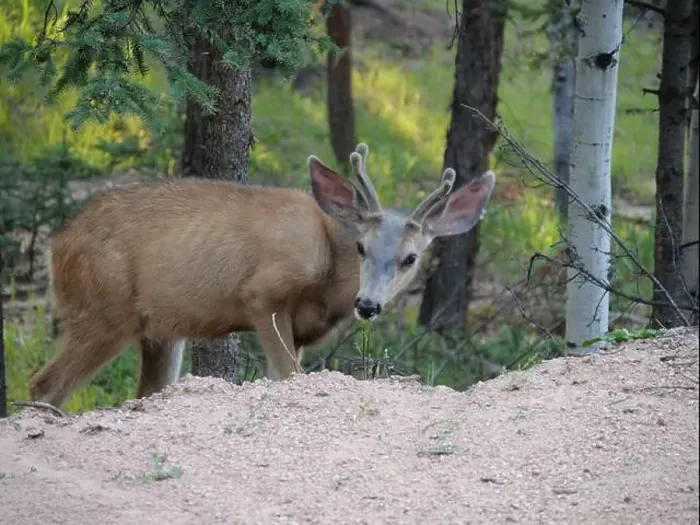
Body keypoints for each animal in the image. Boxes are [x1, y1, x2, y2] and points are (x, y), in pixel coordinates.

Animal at [30, 143, 495, 408]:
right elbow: (289, 375)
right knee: (44, 384)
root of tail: (57, 247)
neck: (329, 277)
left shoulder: (303, 331)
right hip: (102, 310)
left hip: (158, 331)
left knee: (143, 392)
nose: (367, 305)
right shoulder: (263, 295)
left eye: (410, 258)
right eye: (362, 246)